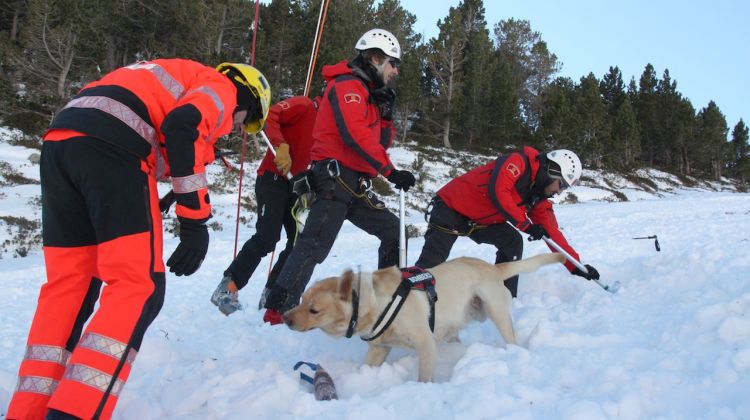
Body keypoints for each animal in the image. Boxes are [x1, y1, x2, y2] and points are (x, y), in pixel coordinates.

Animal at [282, 251, 564, 382]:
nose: (285, 319)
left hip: (497, 314)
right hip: (452, 331)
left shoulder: (426, 345)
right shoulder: (378, 349)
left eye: (313, 309)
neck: (375, 304)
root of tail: (493, 267)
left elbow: (423, 378)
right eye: (301, 300)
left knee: (512, 339)